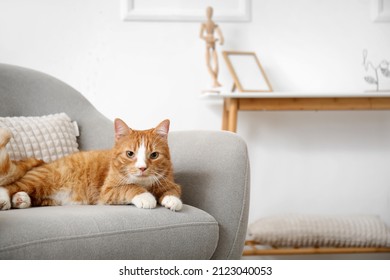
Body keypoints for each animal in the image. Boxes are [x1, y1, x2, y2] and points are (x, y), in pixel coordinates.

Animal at [0, 119, 183, 211]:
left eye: (154, 155)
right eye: (130, 154)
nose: (142, 168)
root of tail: (44, 161)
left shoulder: (168, 181)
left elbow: (173, 189)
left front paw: (172, 199)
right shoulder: (107, 191)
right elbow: (130, 187)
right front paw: (145, 196)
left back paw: (20, 199)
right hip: (41, 179)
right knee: (9, 186)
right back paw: (6, 200)